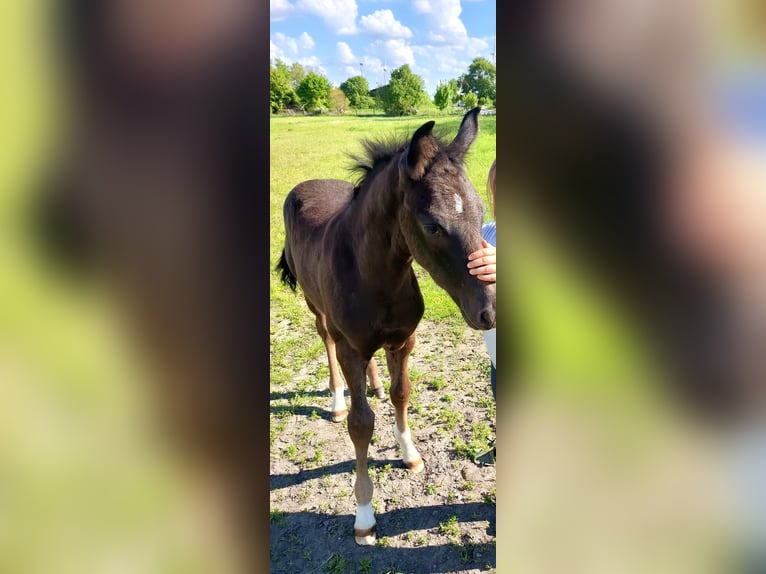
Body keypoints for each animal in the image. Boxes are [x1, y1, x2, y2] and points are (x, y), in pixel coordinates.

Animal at [276, 107, 496, 545]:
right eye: (431, 225)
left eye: (481, 212)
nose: (490, 311)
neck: (379, 277)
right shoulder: (351, 347)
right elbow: (361, 425)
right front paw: (364, 515)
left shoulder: (404, 340)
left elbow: (402, 394)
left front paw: (409, 454)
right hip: (316, 308)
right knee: (327, 342)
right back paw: (337, 401)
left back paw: (373, 383)